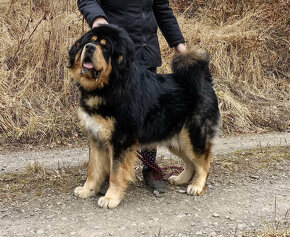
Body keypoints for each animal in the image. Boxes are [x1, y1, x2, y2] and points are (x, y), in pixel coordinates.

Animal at [68, 25, 220, 208]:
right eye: (89, 41)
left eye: (104, 47)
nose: (89, 48)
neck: (108, 87)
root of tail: (205, 80)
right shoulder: (96, 138)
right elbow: (93, 169)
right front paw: (87, 190)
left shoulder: (121, 141)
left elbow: (116, 173)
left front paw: (111, 198)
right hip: (175, 139)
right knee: (191, 162)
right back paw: (181, 179)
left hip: (192, 136)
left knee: (203, 162)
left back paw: (197, 186)